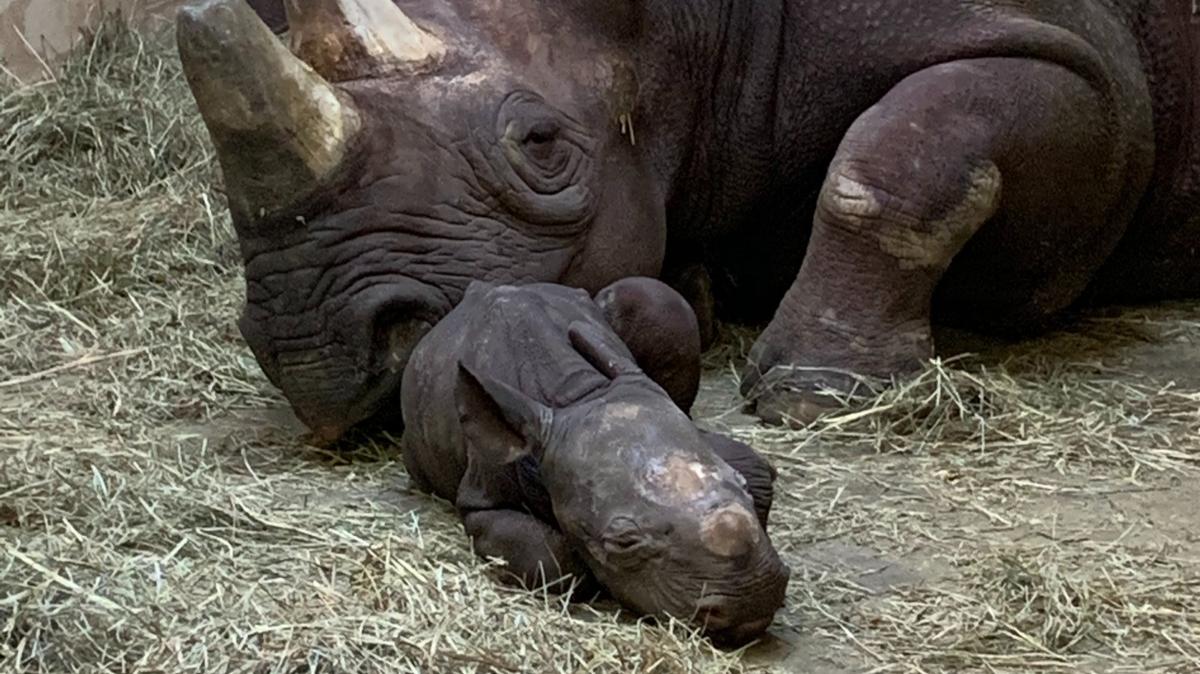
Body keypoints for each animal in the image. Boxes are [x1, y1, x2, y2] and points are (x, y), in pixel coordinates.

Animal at [177, 0, 1200, 436]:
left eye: (541, 145)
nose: (310, 356)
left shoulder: (1091, 74)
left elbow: (900, 153)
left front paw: (816, 397)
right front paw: (695, 295)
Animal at [399, 277, 789, 645]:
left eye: (740, 487)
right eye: (623, 543)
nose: (753, 600)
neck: (576, 395)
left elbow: (754, 476)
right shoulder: (482, 496)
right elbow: (551, 559)